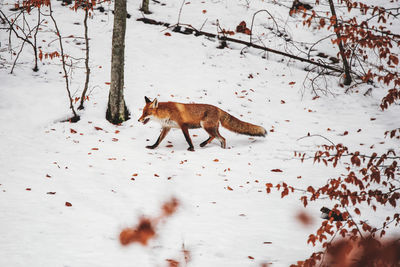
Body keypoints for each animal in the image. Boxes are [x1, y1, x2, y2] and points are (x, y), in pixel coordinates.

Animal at [138, 96, 266, 151]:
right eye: (142, 112)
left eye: (145, 113)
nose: (138, 120)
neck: (166, 113)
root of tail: (218, 109)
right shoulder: (167, 127)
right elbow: (158, 140)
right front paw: (152, 147)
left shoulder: (183, 125)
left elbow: (188, 138)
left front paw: (191, 148)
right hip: (211, 127)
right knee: (218, 138)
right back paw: (212, 146)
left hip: (205, 126)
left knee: (219, 137)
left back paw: (209, 146)